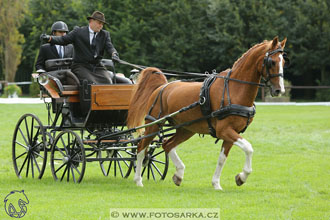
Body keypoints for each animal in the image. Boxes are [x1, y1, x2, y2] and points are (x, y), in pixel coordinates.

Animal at [127, 36, 288, 189]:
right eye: (272, 62)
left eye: (283, 62)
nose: (279, 90)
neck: (234, 89)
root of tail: (162, 87)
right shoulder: (224, 130)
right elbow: (248, 148)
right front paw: (242, 177)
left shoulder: (232, 132)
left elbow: (222, 159)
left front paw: (217, 183)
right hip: (154, 125)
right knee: (141, 149)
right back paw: (138, 180)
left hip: (186, 128)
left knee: (167, 145)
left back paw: (179, 174)